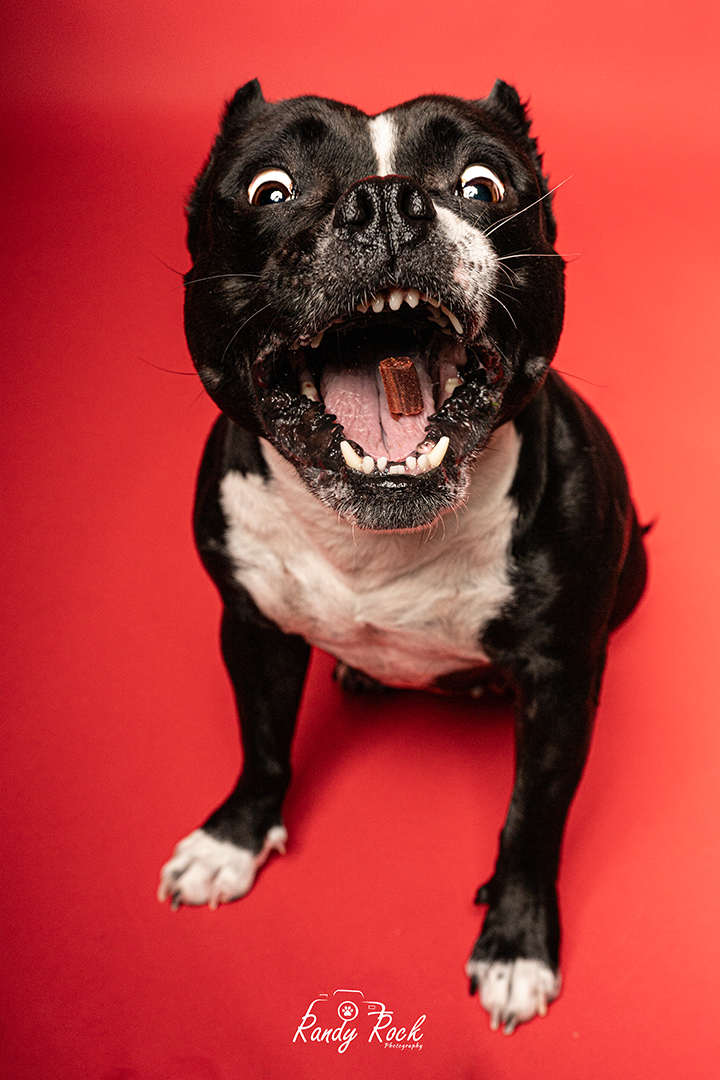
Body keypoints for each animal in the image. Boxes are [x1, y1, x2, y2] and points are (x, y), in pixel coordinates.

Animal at [157, 79, 647, 1034]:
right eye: (270, 188)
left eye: (482, 184)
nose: (386, 202)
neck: (374, 541)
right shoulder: (251, 624)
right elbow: (262, 741)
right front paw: (234, 838)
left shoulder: (564, 678)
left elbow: (533, 817)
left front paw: (516, 943)